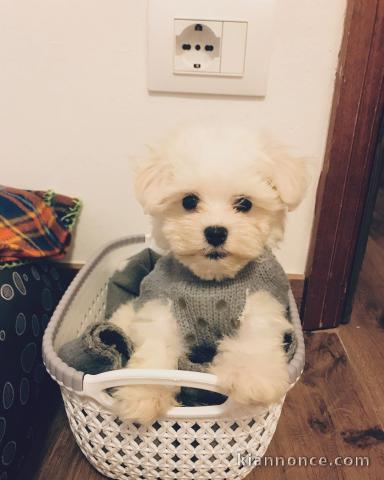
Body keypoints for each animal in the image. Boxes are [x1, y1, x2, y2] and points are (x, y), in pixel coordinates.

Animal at [109, 123, 308, 424]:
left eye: (245, 204)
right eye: (189, 201)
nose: (215, 232)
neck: (212, 281)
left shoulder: (261, 297)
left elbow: (256, 334)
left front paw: (253, 377)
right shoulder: (161, 306)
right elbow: (155, 350)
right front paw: (142, 394)